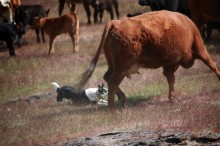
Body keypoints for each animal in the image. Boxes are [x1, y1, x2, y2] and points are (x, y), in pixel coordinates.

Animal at [77, 10, 220, 107]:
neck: (188, 27)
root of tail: (114, 23)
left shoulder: (169, 64)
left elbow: (171, 79)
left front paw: (172, 97)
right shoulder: (199, 47)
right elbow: (212, 64)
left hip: (113, 65)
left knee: (107, 78)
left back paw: (122, 100)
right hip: (122, 68)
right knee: (112, 82)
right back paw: (112, 107)